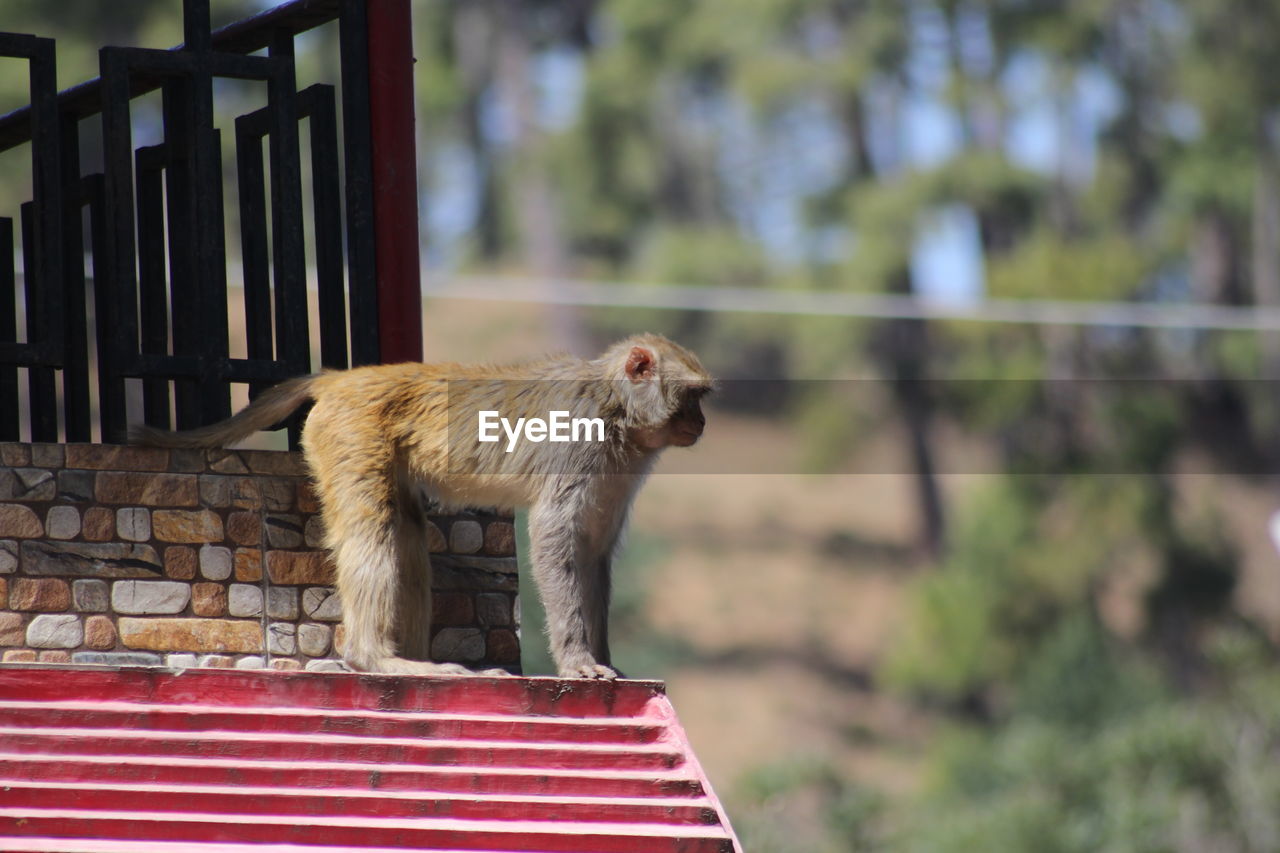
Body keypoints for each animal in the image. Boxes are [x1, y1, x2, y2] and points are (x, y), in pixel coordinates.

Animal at [135, 333, 716, 676]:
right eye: (692, 396)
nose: (703, 423)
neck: (616, 407)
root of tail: (346, 378)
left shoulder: (619, 468)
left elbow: (593, 549)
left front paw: (607, 661)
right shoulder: (578, 442)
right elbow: (556, 538)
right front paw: (578, 662)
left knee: (406, 534)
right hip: (349, 435)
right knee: (373, 534)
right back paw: (379, 660)